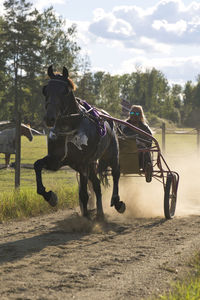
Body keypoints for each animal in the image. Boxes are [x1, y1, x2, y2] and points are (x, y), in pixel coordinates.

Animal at [34, 66, 125, 218]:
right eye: (45, 89)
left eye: (65, 91)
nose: (50, 118)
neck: (70, 126)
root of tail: (108, 117)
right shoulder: (57, 160)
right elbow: (37, 165)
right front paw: (50, 196)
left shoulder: (83, 163)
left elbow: (83, 194)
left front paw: (86, 217)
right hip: (91, 163)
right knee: (97, 184)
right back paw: (100, 213)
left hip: (112, 154)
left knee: (116, 174)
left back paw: (117, 202)